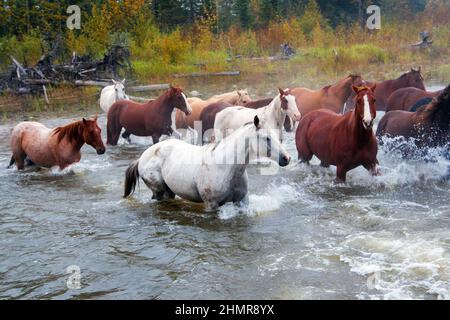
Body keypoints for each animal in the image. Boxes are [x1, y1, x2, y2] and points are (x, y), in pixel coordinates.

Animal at [123, 115, 292, 212]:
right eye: (266, 138)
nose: (287, 158)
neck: (225, 167)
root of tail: (142, 158)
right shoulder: (211, 205)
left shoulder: (242, 202)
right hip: (160, 191)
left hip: (169, 192)